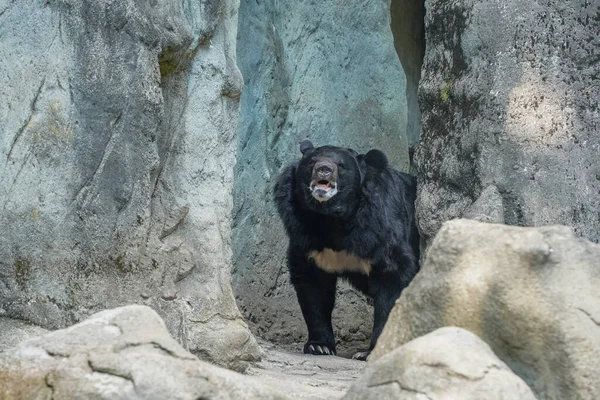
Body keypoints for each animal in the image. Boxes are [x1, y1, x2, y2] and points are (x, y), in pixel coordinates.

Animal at [274, 140, 420, 360]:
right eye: (312, 161)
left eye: (341, 165)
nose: (323, 169)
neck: (330, 219)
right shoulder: (305, 237)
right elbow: (314, 288)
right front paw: (319, 346)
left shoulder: (380, 226)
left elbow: (392, 278)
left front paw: (368, 352)